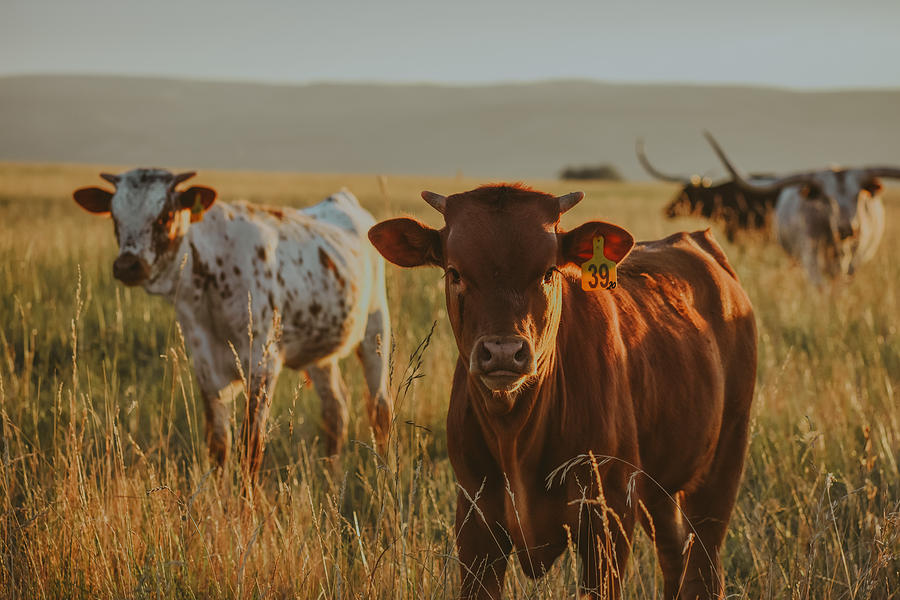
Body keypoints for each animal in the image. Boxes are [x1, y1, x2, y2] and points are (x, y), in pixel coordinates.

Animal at [73, 170, 390, 478]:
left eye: (164, 216)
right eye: (115, 218)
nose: (128, 265)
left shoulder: (263, 365)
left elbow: (250, 448)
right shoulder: (205, 366)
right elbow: (218, 446)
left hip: (375, 329)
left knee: (379, 409)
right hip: (319, 350)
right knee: (335, 410)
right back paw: (332, 477)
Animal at [370, 185, 756, 596]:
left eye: (548, 272)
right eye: (455, 272)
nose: (503, 352)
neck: (515, 435)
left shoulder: (609, 520)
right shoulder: (475, 522)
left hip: (724, 461)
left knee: (703, 565)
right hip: (661, 487)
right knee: (675, 554)